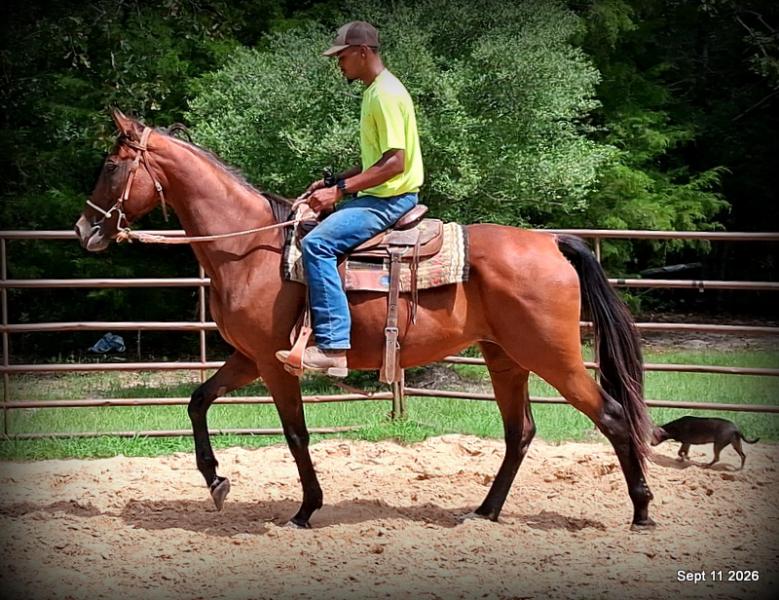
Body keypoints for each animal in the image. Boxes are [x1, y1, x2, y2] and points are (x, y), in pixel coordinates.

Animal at [75, 110, 654, 529]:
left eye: (111, 165)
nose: (84, 229)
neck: (250, 249)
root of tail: (550, 243)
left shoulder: (275, 363)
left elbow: (296, 434)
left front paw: (306, 509)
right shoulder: (248, 357)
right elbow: (197, 402)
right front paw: (216, 482)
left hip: (551, 356)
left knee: (611, 415)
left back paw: (642, 511)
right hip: (505, 358)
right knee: (521, 432)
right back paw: (485, 511)